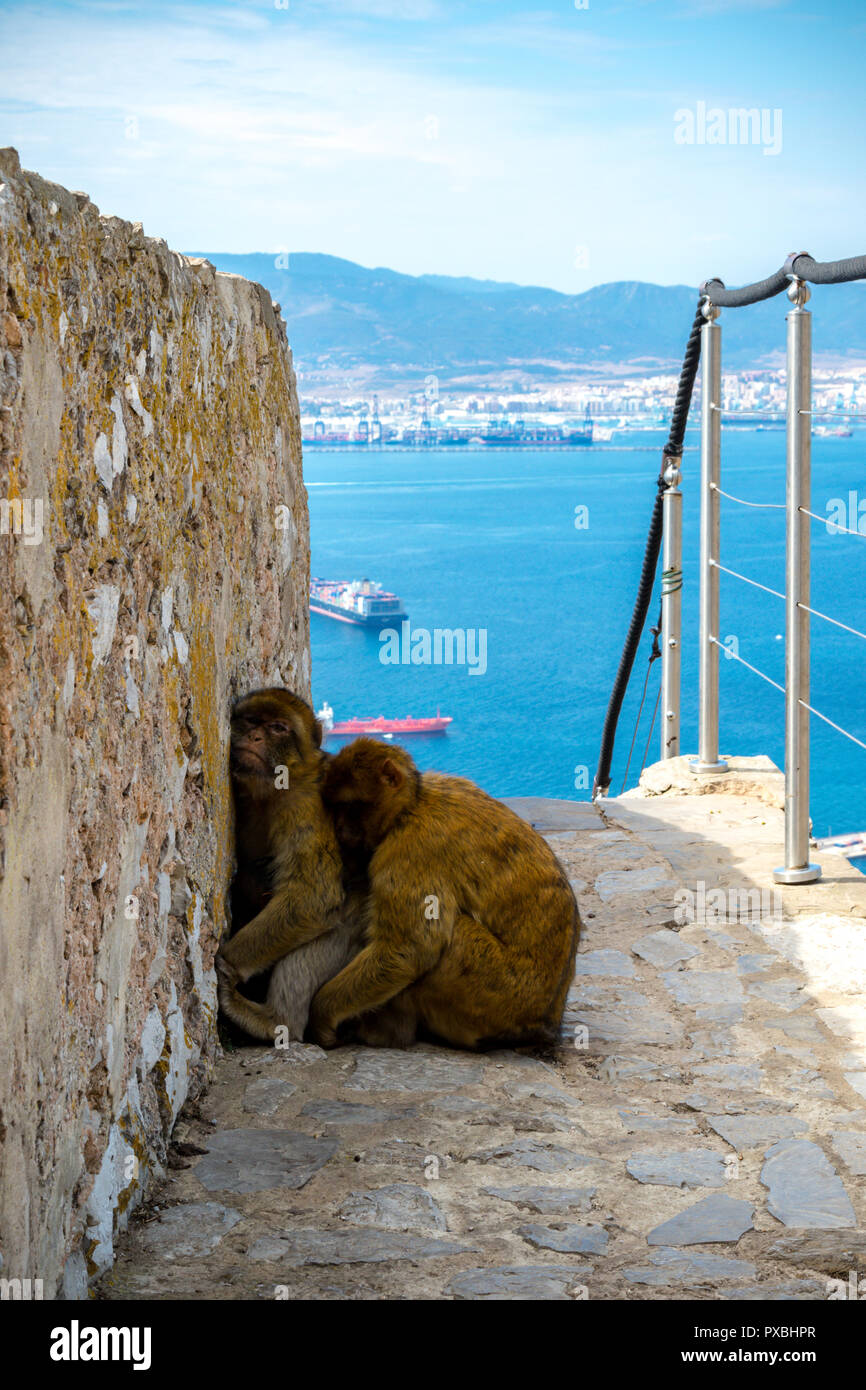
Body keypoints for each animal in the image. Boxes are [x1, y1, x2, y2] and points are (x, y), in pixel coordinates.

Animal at [218, 689, 366, 1039]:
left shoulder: (305, 805)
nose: (255, 737)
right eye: (251, 721)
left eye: (278, 728)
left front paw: (229, 963)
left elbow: (312, 896)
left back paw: (275, 1021)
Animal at [311, 745, 583, 1045]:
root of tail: (545, 1021)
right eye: (335, 808)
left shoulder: (410, 850)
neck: (412, 804)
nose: (340, 829)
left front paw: (323, 1012)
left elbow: (409, 949)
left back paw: (387, 1032)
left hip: (496, 997)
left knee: (456, 935)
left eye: (349, 806)